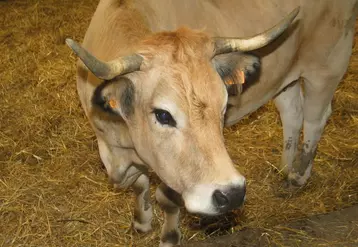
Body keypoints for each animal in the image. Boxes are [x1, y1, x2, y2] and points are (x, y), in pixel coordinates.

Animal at [65, 0, 356, 246]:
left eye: (224, 107)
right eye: (163, 115)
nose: (233, 194)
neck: (122, 145)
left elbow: (167, 199)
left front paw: (169, 237)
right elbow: (139, 184)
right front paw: (142, 221)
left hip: (327, 66)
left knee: (315, 118)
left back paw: (297, 177)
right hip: (284, 77)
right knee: (292, 112)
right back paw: (284, 169)